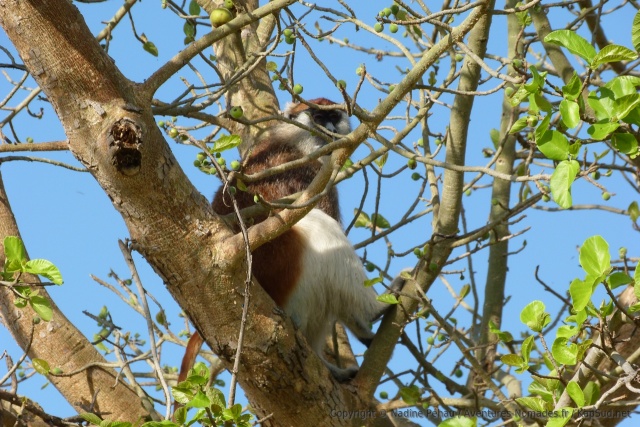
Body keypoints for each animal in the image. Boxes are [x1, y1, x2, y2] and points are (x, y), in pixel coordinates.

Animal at [177, 98, 390, 391]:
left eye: (334, 115)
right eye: (317, 116)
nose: (330, 126)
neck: (293, 140)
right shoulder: (308, 173)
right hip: (283, 267)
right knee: (321, 229)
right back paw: (375, 311)